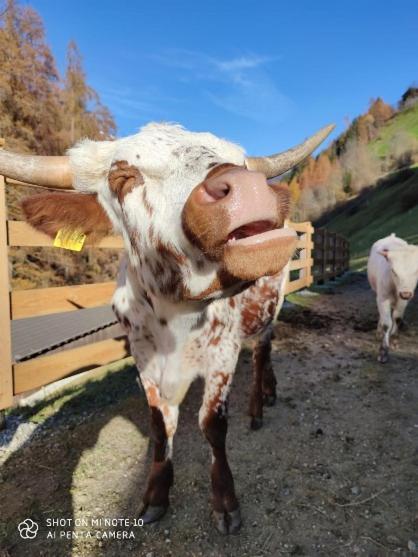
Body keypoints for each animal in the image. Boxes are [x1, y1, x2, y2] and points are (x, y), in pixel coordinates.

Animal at [0, 120, 334, 528]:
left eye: (240, 161)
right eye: (123, 177)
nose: (249, 187)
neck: (176, 320)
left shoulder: (222, 352)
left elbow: (212, 425)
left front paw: (225, 500)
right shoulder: (143, 357)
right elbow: (160, 427)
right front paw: (156, 493)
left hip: (273, 303)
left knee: (261, 352)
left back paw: (258, 403)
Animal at [368, 232, 416, 362]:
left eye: (417, 271)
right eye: (393, 271)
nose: (405, 293)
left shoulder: (404, 300)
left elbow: (397, 318)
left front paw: (394, 338)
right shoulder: (383, 297)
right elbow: (386, 323)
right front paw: (383, 351)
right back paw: (379, 331)